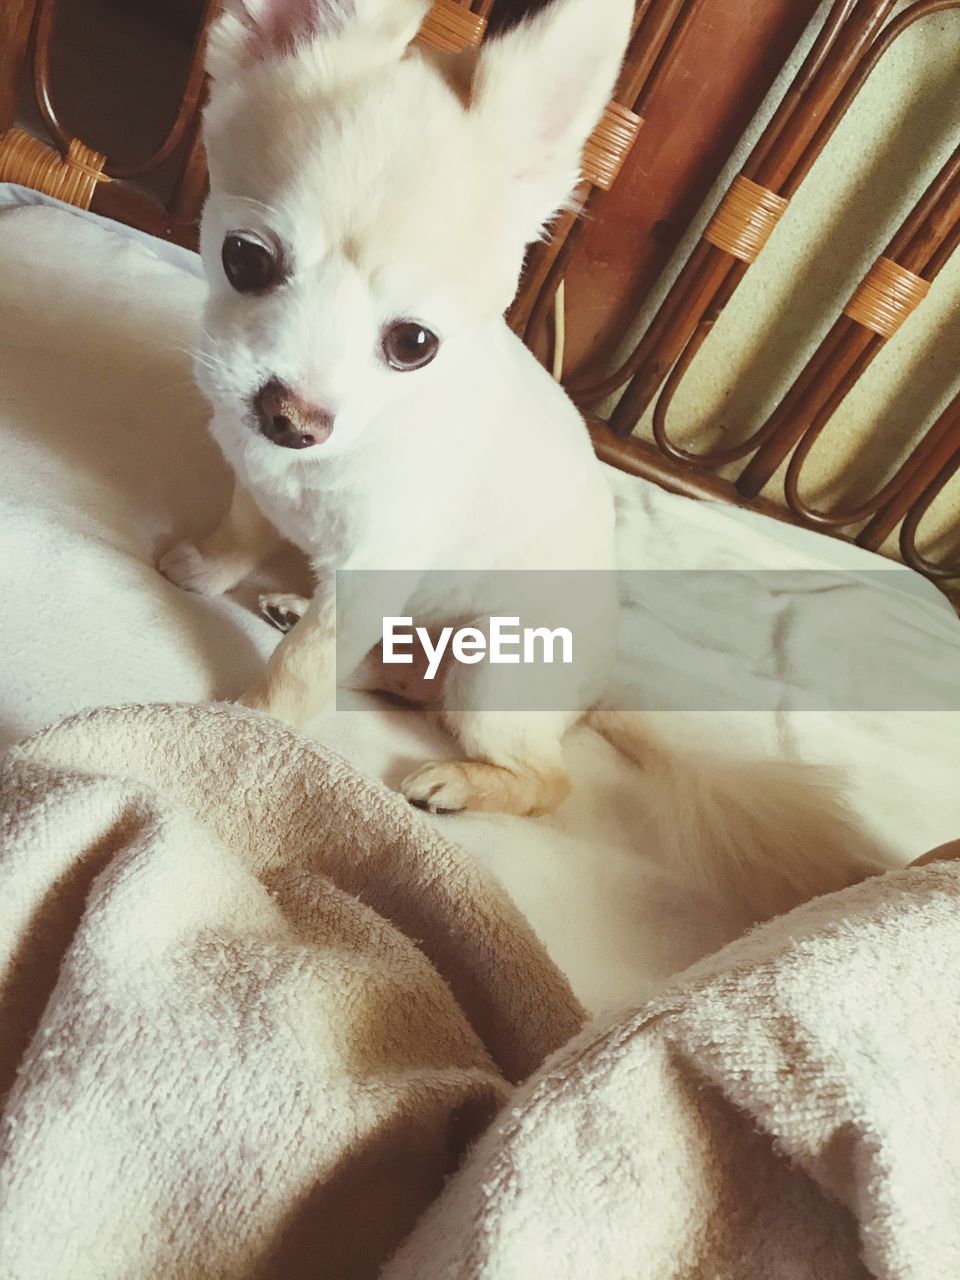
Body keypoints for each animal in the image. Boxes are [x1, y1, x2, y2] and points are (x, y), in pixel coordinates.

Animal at [163, 0, 896, 921]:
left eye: (414, 345)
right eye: (246, 260)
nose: (291, 415)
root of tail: (591, 696)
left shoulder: (373, 569)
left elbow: (300, 672)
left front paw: (247, 729)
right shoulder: (253, 471)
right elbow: (239, 525)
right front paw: (206, 568)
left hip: (492, 666)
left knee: (547, 780)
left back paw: (460, 781)